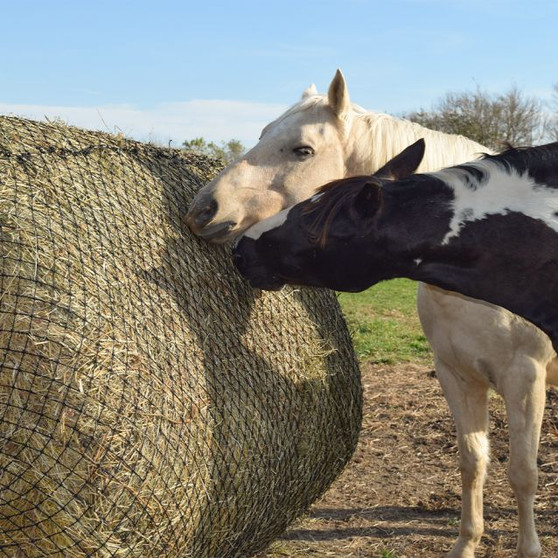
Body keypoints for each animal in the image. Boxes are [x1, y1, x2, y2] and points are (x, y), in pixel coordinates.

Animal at [187, 72, 556, 556]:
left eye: (301, 149)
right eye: (264, 133)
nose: (202, 210)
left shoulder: (525, 378)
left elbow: (523, 473)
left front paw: (528, 548)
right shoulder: (456, 374)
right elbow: (473, 462)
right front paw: (465, 543)